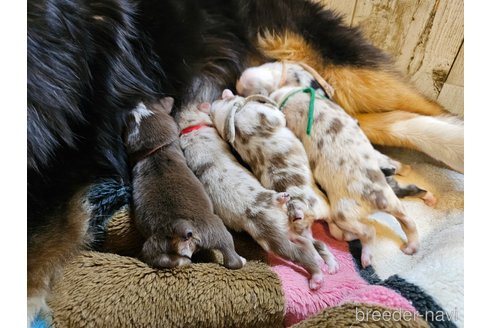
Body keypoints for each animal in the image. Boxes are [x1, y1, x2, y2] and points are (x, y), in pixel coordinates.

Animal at [125, 99, 244, 270]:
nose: (135, 103)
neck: (155, 151)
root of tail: (179, 225)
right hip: (217, 230)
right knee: (231, 257)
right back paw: (241, 259)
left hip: (155, 244)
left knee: (160, 259)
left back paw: (183, 261)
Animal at [209, 89, 340, 272]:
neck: (232, 117)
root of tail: (296, 211)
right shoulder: (269, 114)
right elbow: (279, 116)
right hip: (325, 208)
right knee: (332, 229)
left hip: (304, 230)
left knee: (318, 244)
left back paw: (330, 264)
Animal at [236, 62, 420, 268]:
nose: (239, 82)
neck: (297, 92)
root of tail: (377, 199)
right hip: (391, 202)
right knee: (408, 222)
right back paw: (411, 247)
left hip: (343, 213)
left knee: (369, 231)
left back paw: (366, 257)